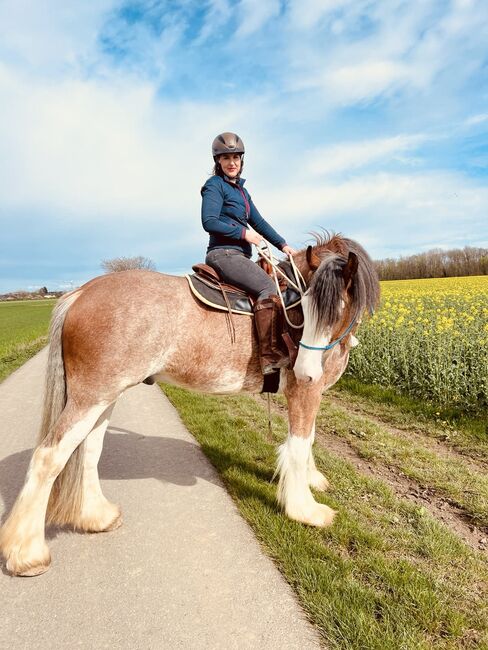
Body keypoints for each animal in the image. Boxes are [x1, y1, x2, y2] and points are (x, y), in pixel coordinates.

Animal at [0, 232, 380, 572]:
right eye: (304, 308)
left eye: (336, 312)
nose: (306, 371)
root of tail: (81, 292)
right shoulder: (303, 393)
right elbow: (299, 447)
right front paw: (306, 510)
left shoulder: (312, 393)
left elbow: (310, 440)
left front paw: (314, 481)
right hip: (90, 397)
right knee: (49, 457)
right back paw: (27, 553)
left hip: (105, 395)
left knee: (90, 449)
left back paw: (96, 516)